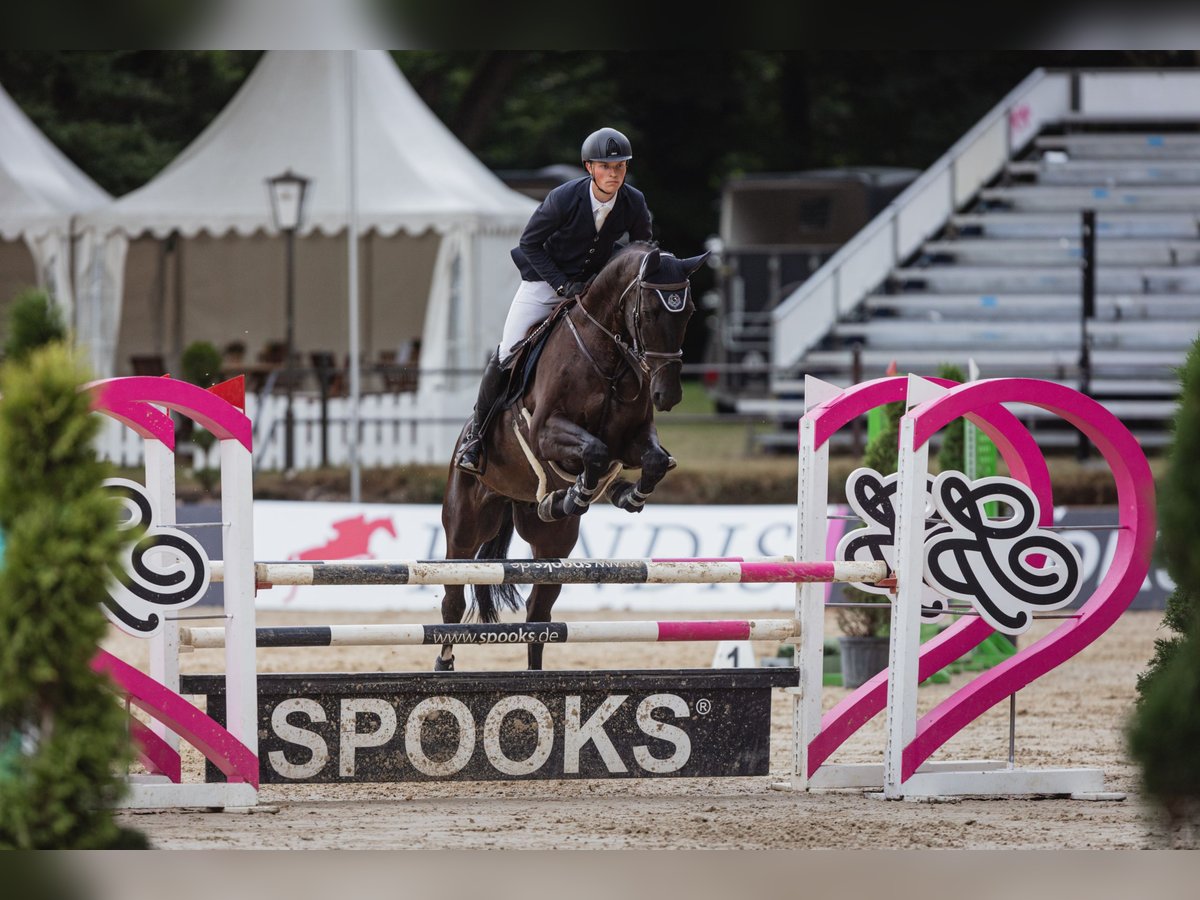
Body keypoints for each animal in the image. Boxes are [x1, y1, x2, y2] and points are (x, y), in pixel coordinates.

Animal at [436, 243, 705, 672]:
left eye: (690, 311)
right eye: (649, 312)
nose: (668, 394)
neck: (606, 358)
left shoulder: (631, 439)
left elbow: (653, 461)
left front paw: (621, 495)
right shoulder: (546, 431)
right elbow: (593, 451)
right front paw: (577, 494)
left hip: (552, 543)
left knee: (538, 614)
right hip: (465, 527)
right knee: (452, 600)